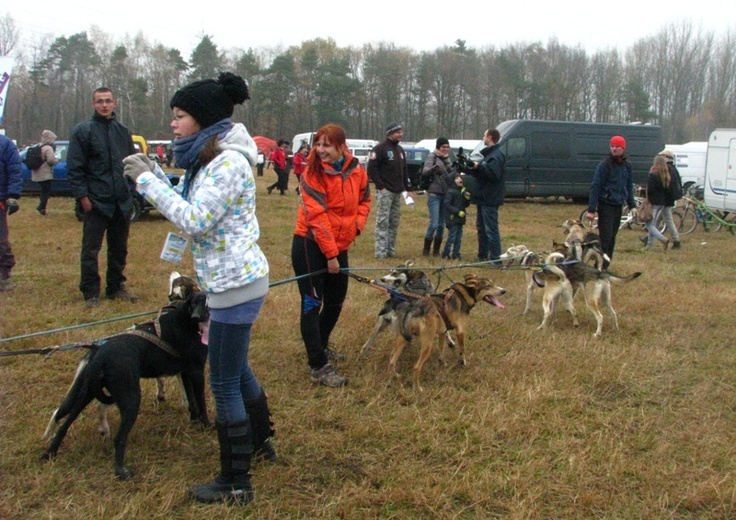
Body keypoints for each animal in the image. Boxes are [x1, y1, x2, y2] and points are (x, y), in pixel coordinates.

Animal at [41, 292, 210, 480]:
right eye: (195, 303)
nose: (196, 316)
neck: (185, 320)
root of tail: (99, 354)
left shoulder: (186, 372)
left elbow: (192, 401)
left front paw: (194, 420)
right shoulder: (196, 372)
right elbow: (200, 402)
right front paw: (206, 425)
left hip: (86, 395)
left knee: (64, 423)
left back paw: (49, 453)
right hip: (131, 399)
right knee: (119, 437)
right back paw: (121, 472)